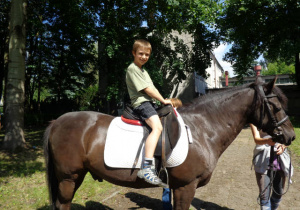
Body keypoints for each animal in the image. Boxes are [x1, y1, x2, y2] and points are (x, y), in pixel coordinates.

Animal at [43, 76, 294, 209]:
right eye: (275, 106)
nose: (291, 136)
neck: (203, 129)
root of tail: (56, 122)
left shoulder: (176, 187)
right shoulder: (185, 186)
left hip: (74, 177)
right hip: (68, 178)